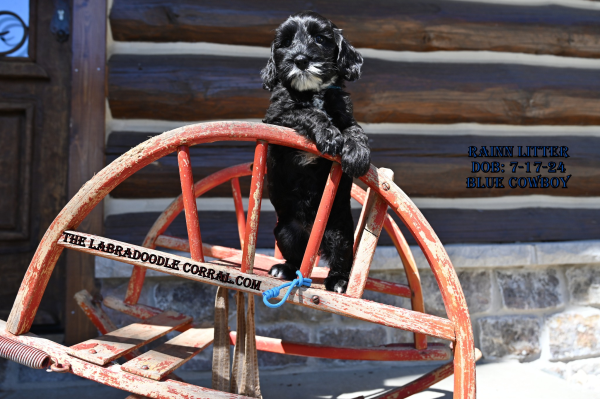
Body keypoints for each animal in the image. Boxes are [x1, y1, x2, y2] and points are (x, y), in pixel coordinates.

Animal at [262, 11, 370, 294]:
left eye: (320, 38)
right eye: (286, 42)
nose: (301, 60)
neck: (314, 91)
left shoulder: (346, 117)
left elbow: (355, 131)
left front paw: (357, 155)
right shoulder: (276, 118)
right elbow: (306, 113)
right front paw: (329, 135)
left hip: (340, 232)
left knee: (340, 260)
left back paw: (340, 282)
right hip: (285, 232)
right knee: (297, 259)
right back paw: (283, 269)